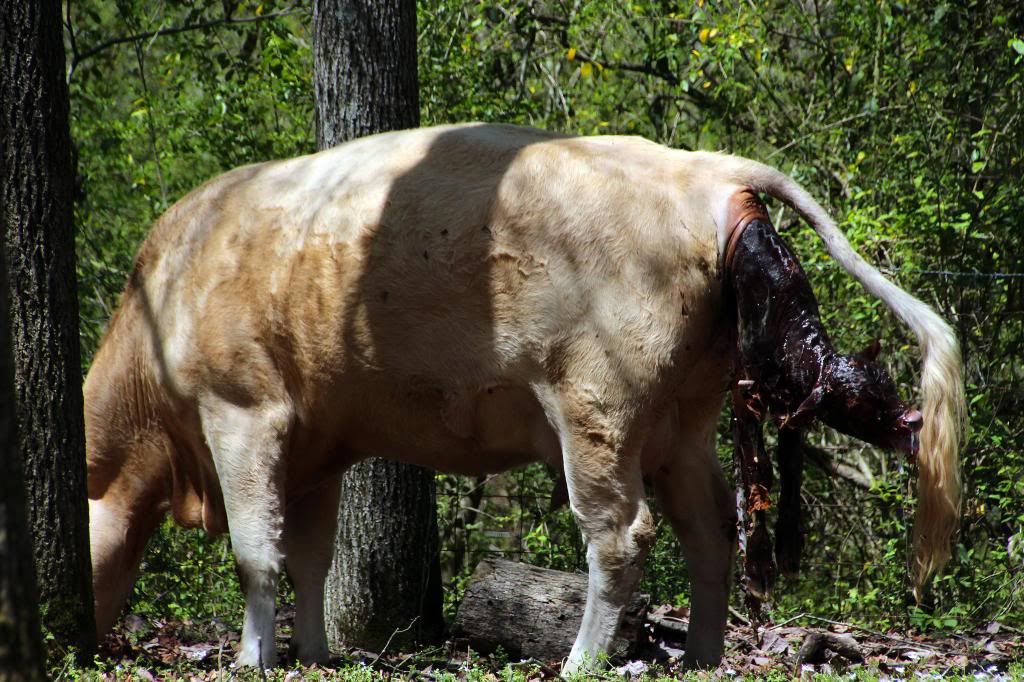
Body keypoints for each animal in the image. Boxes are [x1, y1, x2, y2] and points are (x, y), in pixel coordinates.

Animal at [85, 123, 965, 672]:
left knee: (622, 535)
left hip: (598, 405)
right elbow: (310, 558)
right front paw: (315, 655)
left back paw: (580, 662)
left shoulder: (242, 409)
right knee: (709, 526)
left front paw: (251, 659)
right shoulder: (316, 445)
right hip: (682, 417)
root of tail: (711, 170)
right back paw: (703, 657)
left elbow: (254, 552)